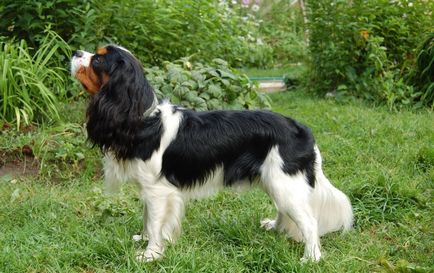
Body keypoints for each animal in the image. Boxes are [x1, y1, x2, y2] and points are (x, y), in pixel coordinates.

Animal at [70, 44, 352, 262]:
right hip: (276, 181)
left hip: (284, 183)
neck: (142, 118)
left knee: (309, 221)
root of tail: (302, 128)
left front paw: (150, 254)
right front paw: (145, 240)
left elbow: (155, 221)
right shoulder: (150, 190)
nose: (75, 51)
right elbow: (147, 217)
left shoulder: (158, 191)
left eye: (97, 59)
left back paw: (311, 258)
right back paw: (276, 227)